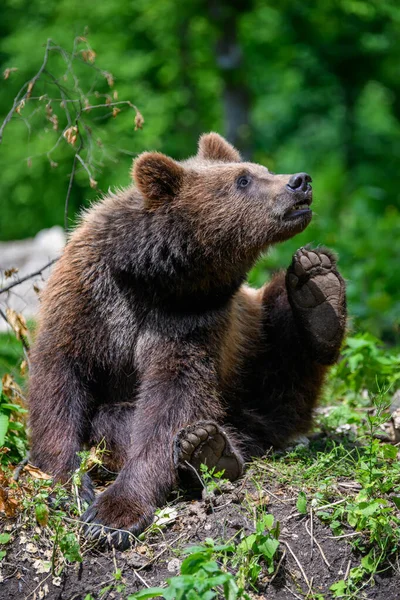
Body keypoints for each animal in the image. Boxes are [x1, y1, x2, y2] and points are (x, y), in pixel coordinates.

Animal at [28, 134, 346, 552]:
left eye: (259, 170)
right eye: (244, 179)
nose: (299, 181)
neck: (155, 279)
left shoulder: (190, 324)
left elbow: (173, 400)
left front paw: (114, 514)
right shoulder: (89, 298)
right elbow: (61, 379)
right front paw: (71, 486)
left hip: (252, 354)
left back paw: (317, 290)